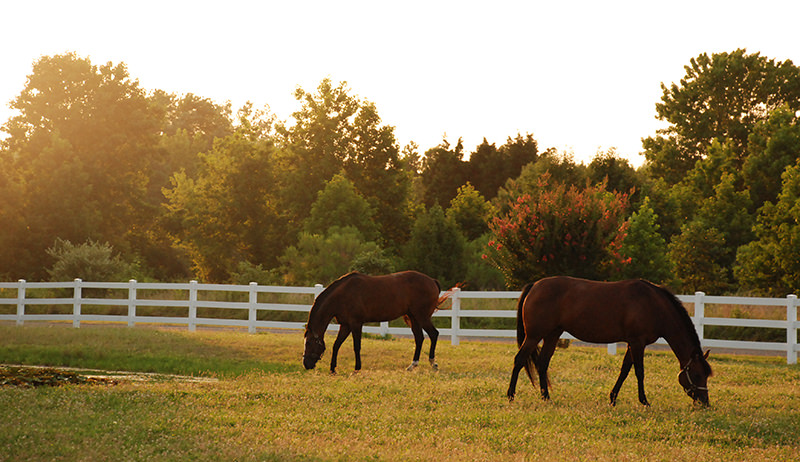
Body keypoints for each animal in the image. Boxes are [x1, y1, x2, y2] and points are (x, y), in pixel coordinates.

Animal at [304, 272, 446, 374]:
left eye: (309, 343)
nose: (306, 364)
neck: (342, 295)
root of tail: (432, 281)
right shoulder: (345, 325)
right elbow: (336, 345)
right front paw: (333, 369)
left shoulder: (356, 324)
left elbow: (356, 346)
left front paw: (357, 368)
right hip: (413, 318)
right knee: (419, 338)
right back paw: (412, 365)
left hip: (422, 317)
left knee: (433, 334)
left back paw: (433, 363)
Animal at [506, 276, 712, 406]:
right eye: (696, 375)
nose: (705, 402)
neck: (653, 305)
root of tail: (534, 285)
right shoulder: (637, 342)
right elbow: (639, 372)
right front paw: (644, 400)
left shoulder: (632, 343)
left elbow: (624, 370)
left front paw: (613, 398)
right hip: (534, 336)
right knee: (519, 360)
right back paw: (510, 395)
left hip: (552, 335)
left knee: (542, 363)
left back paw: (546, 397)